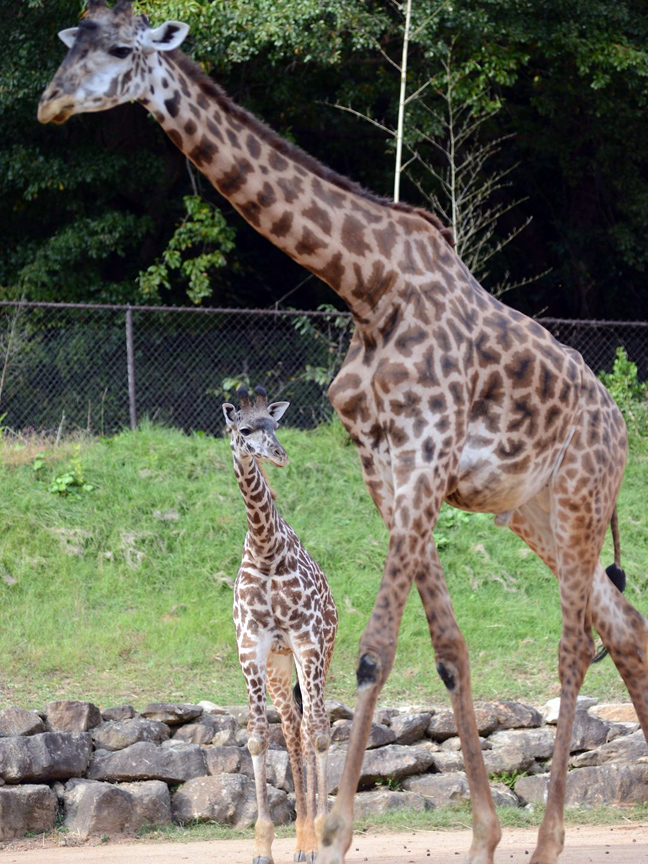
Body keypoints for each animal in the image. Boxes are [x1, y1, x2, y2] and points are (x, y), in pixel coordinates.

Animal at [39, 3, 648, 860]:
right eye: (75, 41)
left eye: (123, 49)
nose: (50, 103)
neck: (367, 283)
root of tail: (621, 423)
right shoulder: (386, 467)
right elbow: (449, 651)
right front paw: (481, 835)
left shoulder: (425, 452)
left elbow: (374, 652)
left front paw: (332, 831)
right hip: (533, 513)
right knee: (625, 629)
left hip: (581, 498)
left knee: (572, 650)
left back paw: (549, 840)